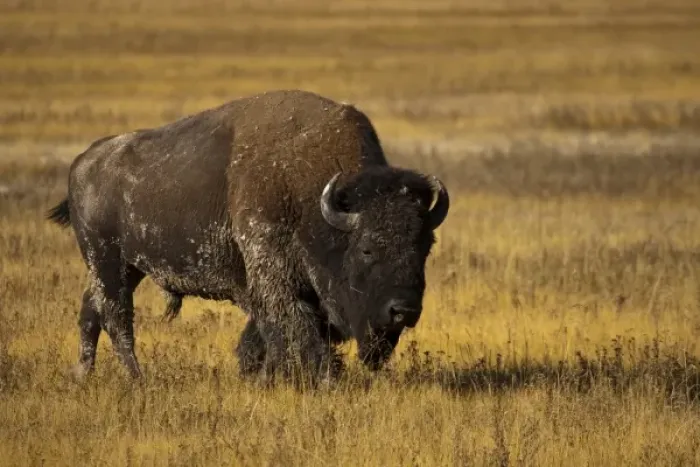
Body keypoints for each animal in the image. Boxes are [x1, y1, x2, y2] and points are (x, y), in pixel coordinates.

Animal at [47, 89, 449, 384]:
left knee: (91, 310)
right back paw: (137, 379)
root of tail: (83, 163)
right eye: (365, 249)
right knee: (117, 317)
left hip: (125, 268)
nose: (403, 310)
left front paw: (258, 374)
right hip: (106, 260)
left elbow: (265, 334)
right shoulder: (273, 276)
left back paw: (82, 375)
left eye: (424, 248)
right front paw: (319, 378)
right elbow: (293, 327)